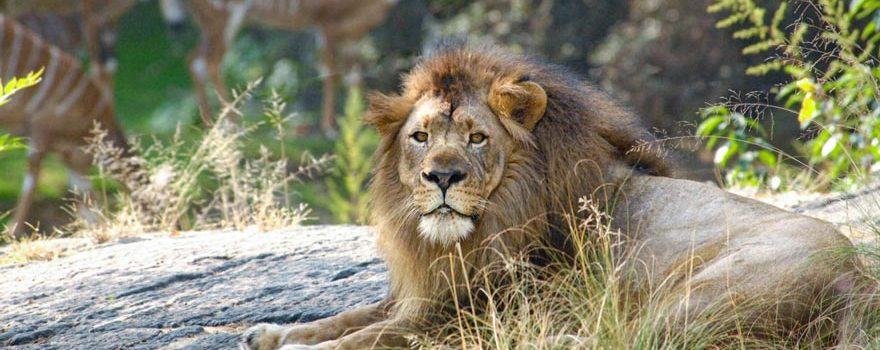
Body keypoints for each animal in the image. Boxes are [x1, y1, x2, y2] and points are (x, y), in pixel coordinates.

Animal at [242, 42, 868, 348]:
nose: (441, 178)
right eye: (420, 137)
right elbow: (346, 317)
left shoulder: (465, 311)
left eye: (476, 137)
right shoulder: (426, 290)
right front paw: (270, 332)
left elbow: (367, 336)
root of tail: (859, 278)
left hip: (706, 291)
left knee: (641, 340)